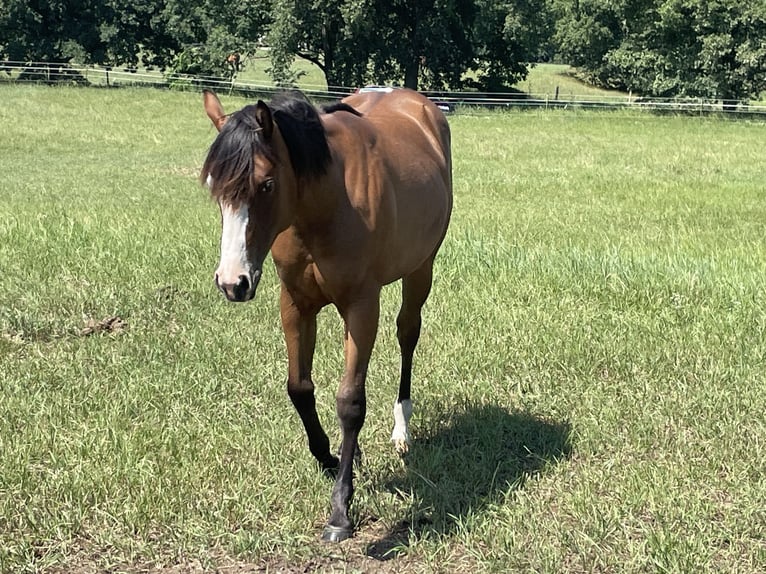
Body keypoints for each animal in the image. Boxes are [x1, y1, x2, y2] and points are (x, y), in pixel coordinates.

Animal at [201, 88, 452, 544]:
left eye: (266, 183)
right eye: (213, 186)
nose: (232, 282)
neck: (325, 202)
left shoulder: (362, 306)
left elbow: (350, 402)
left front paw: (340, 509)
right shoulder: (296, 303)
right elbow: (299, 388)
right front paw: (330, 458)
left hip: (421, 268)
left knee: (408, 334)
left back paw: (402, 428)